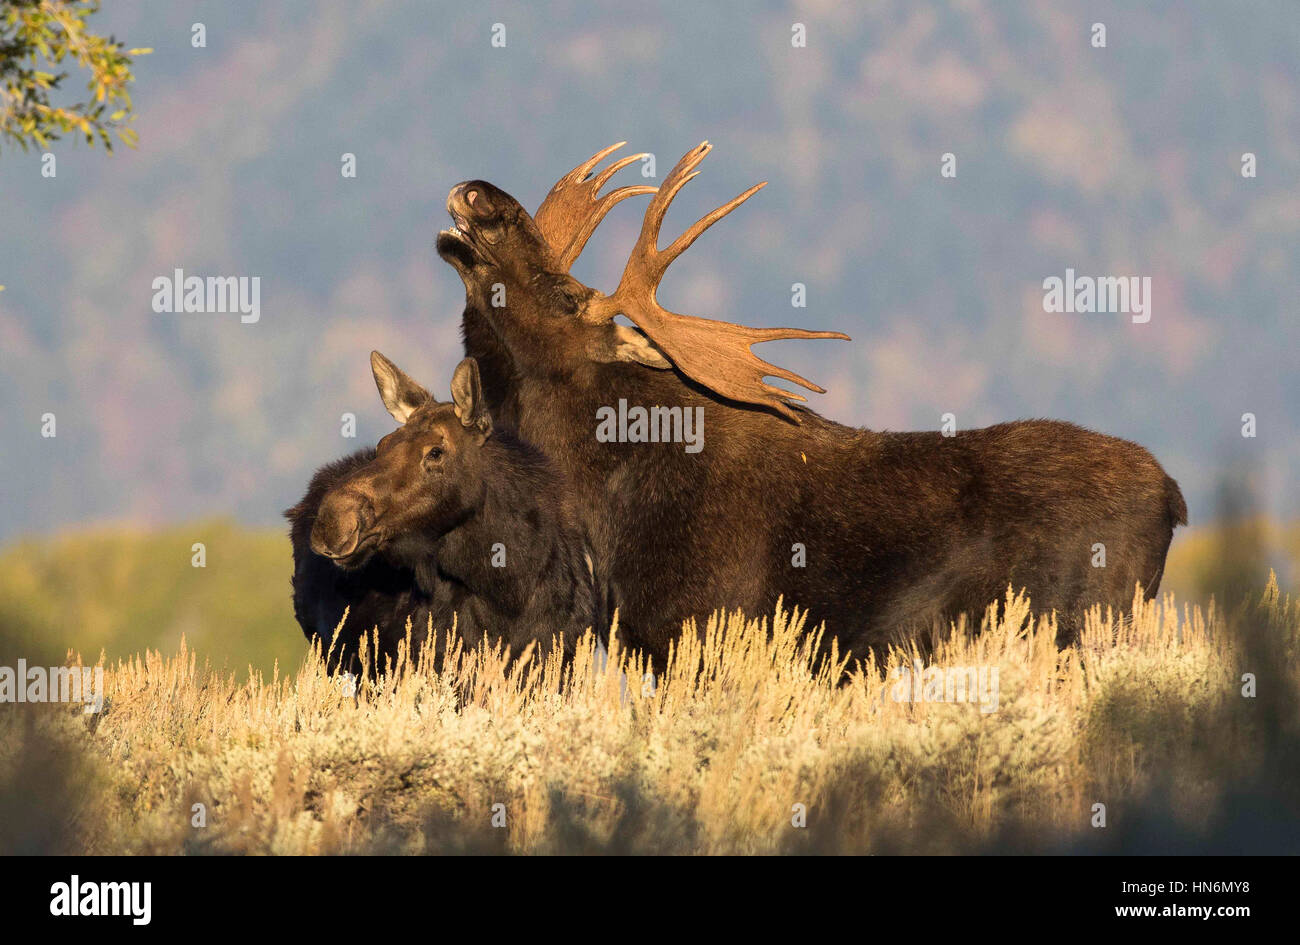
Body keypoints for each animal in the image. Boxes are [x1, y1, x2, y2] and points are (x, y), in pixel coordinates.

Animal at [434, 142, 1190, 665]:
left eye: (566, 294)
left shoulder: (699, 630)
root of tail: (1175, 498)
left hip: (1090, 621)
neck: (602, 504)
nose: (479, 194)